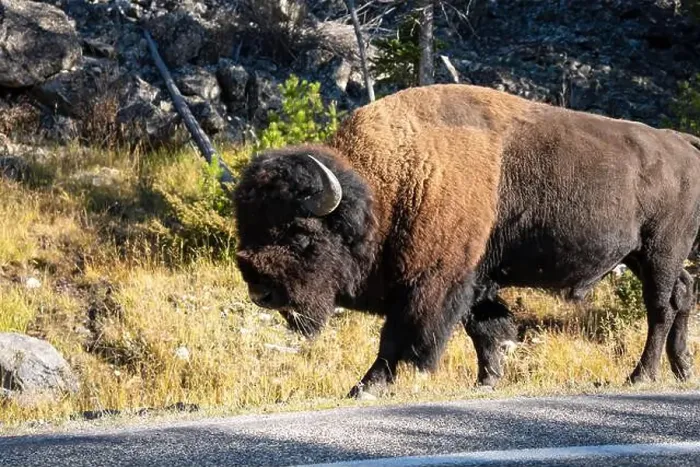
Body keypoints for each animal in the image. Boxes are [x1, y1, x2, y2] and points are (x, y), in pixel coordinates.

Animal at [233, 84, 700, 398]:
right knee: (683, 293)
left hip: (660, 250)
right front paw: (487, 381)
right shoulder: (476, 279)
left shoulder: (433, 283)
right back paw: (681, 369)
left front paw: (366, 387)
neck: (390, 185)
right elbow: (486, 328)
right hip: (642, 256)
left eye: (299, 233)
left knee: (660, 306)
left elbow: (399, 337)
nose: (261, 291)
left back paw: (642, 374)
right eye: (247, 226)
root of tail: (681, 141)